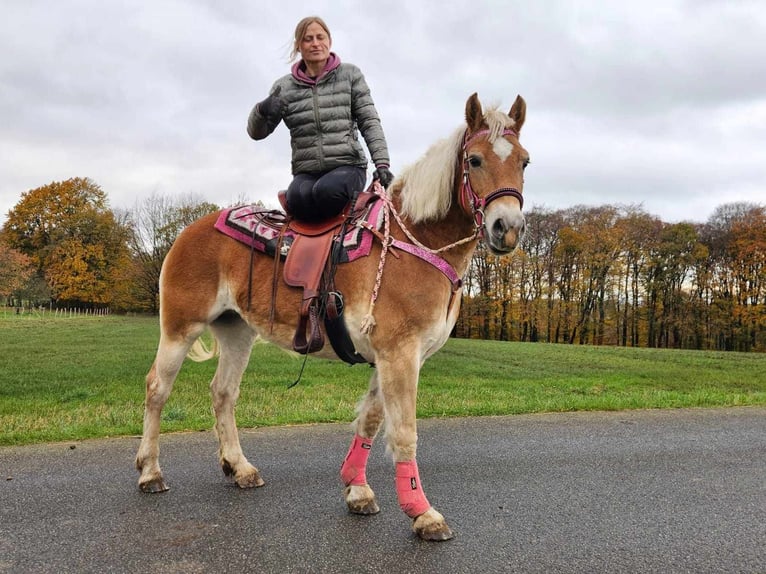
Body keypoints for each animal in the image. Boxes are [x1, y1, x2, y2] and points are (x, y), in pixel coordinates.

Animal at [135, 92, 532, 544]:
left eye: (524, 161)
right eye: (475, 160)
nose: (507, 227)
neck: (416, 243)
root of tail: (188, 230)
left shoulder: (387, 357)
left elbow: (371, 421)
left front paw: (357, 489)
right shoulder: (400, 354)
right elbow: (403, 432)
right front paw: (422, 512)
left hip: (237, 333)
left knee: (223, 393)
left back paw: (239, 467)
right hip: (179, 329)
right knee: (157, 389)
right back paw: (150, 471)